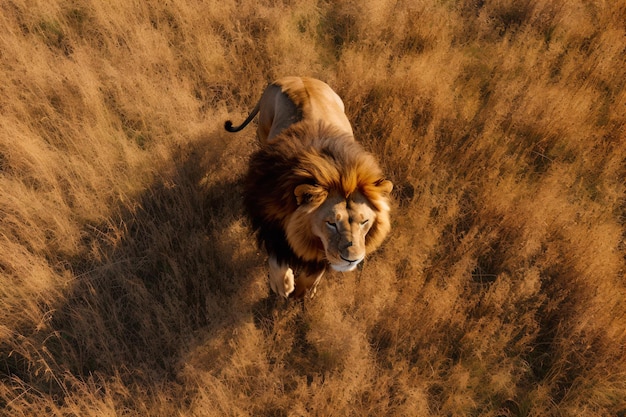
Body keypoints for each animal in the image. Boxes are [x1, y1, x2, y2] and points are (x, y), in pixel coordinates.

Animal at [223, 77, 390, 300]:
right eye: (331, 223)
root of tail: (291, 77)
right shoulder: (270, 219)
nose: (352, 259)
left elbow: (316, 271)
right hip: (263, 129)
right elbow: (277, 258)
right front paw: (282, 286)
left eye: (364, 222)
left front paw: (304, 291)